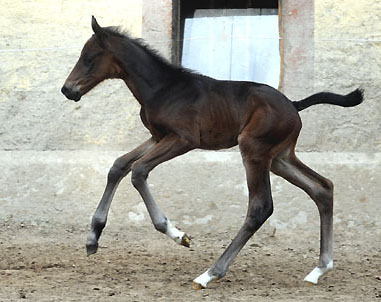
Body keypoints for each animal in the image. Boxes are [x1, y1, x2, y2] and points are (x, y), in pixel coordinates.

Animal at [60, 17, 362, 290]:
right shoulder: (158, 136)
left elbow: (138, 171)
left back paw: (210, 274)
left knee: (261, 206)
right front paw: (93, 236)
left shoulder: (184, 139)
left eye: (89, 57)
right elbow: (118, 165)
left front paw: (176, 234)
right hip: (279, 158)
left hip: (254, 150)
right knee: (322, 188)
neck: (163, 88)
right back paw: (319, 269)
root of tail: (293, 105)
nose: (67, 89)